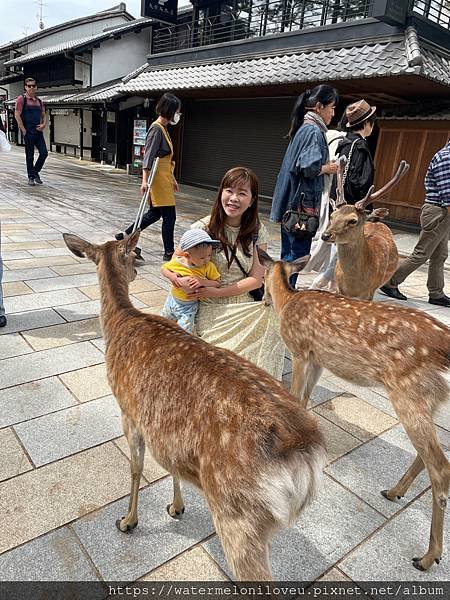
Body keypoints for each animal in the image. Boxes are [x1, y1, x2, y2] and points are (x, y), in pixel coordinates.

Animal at [61, 231, 326, 580]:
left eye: (132, 255)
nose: (136, 272)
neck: (120, 323)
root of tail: (304, 448)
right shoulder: (165, 433)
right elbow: (170, 465)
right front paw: (176, 507)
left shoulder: (128, 410)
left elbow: (136, 467)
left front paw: (127, 521)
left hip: (238, 512)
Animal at [256, 247, 450, 572]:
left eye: (261, 275)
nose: (262, 300)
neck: (288, 302)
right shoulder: (318, 359)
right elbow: (305, 399)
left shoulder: (300, 351)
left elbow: (295, 396)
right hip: (431, 400)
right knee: (430, 455)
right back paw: (394, 492)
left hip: (409, 393)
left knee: (441, 466)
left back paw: (427, 556)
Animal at [318, 159, 410, 300]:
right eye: (332, 215)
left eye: (353, 220)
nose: (325, 235)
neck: (353, 286)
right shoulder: (340, 290)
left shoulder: (369, 292)